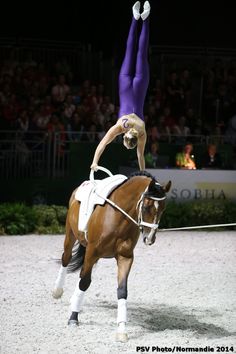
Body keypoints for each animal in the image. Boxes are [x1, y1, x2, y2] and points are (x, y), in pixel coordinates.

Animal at [52, 170, 171, 342]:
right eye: (147, 206)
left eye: (163, 208)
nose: (149, 239)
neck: (119, 217)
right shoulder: (92, 252)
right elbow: (84, 283)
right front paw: (73, 317)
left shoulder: (125, 257)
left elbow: (122, 290)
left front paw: (121, 329)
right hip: (71, 235)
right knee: (66, 258)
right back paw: (57, 291)